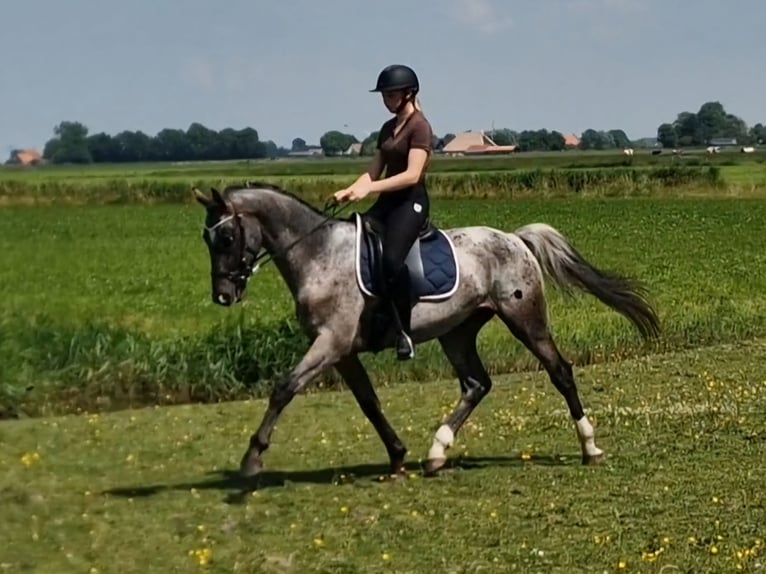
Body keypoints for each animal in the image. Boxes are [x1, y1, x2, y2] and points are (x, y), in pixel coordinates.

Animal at [192, 184, 660, 482]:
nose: (223, 295)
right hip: (457, 331)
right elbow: (369, 403)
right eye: (206, 238)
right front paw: (398, 457)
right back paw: (436, 453)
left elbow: (283, 389)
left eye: (227, 235)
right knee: (476, 384)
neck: (318, 255)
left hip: (525, 318)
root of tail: (515, 238)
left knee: (560, 372)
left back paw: (589, 447)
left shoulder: (331, 343)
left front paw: (252, 459)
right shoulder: (341, 351)